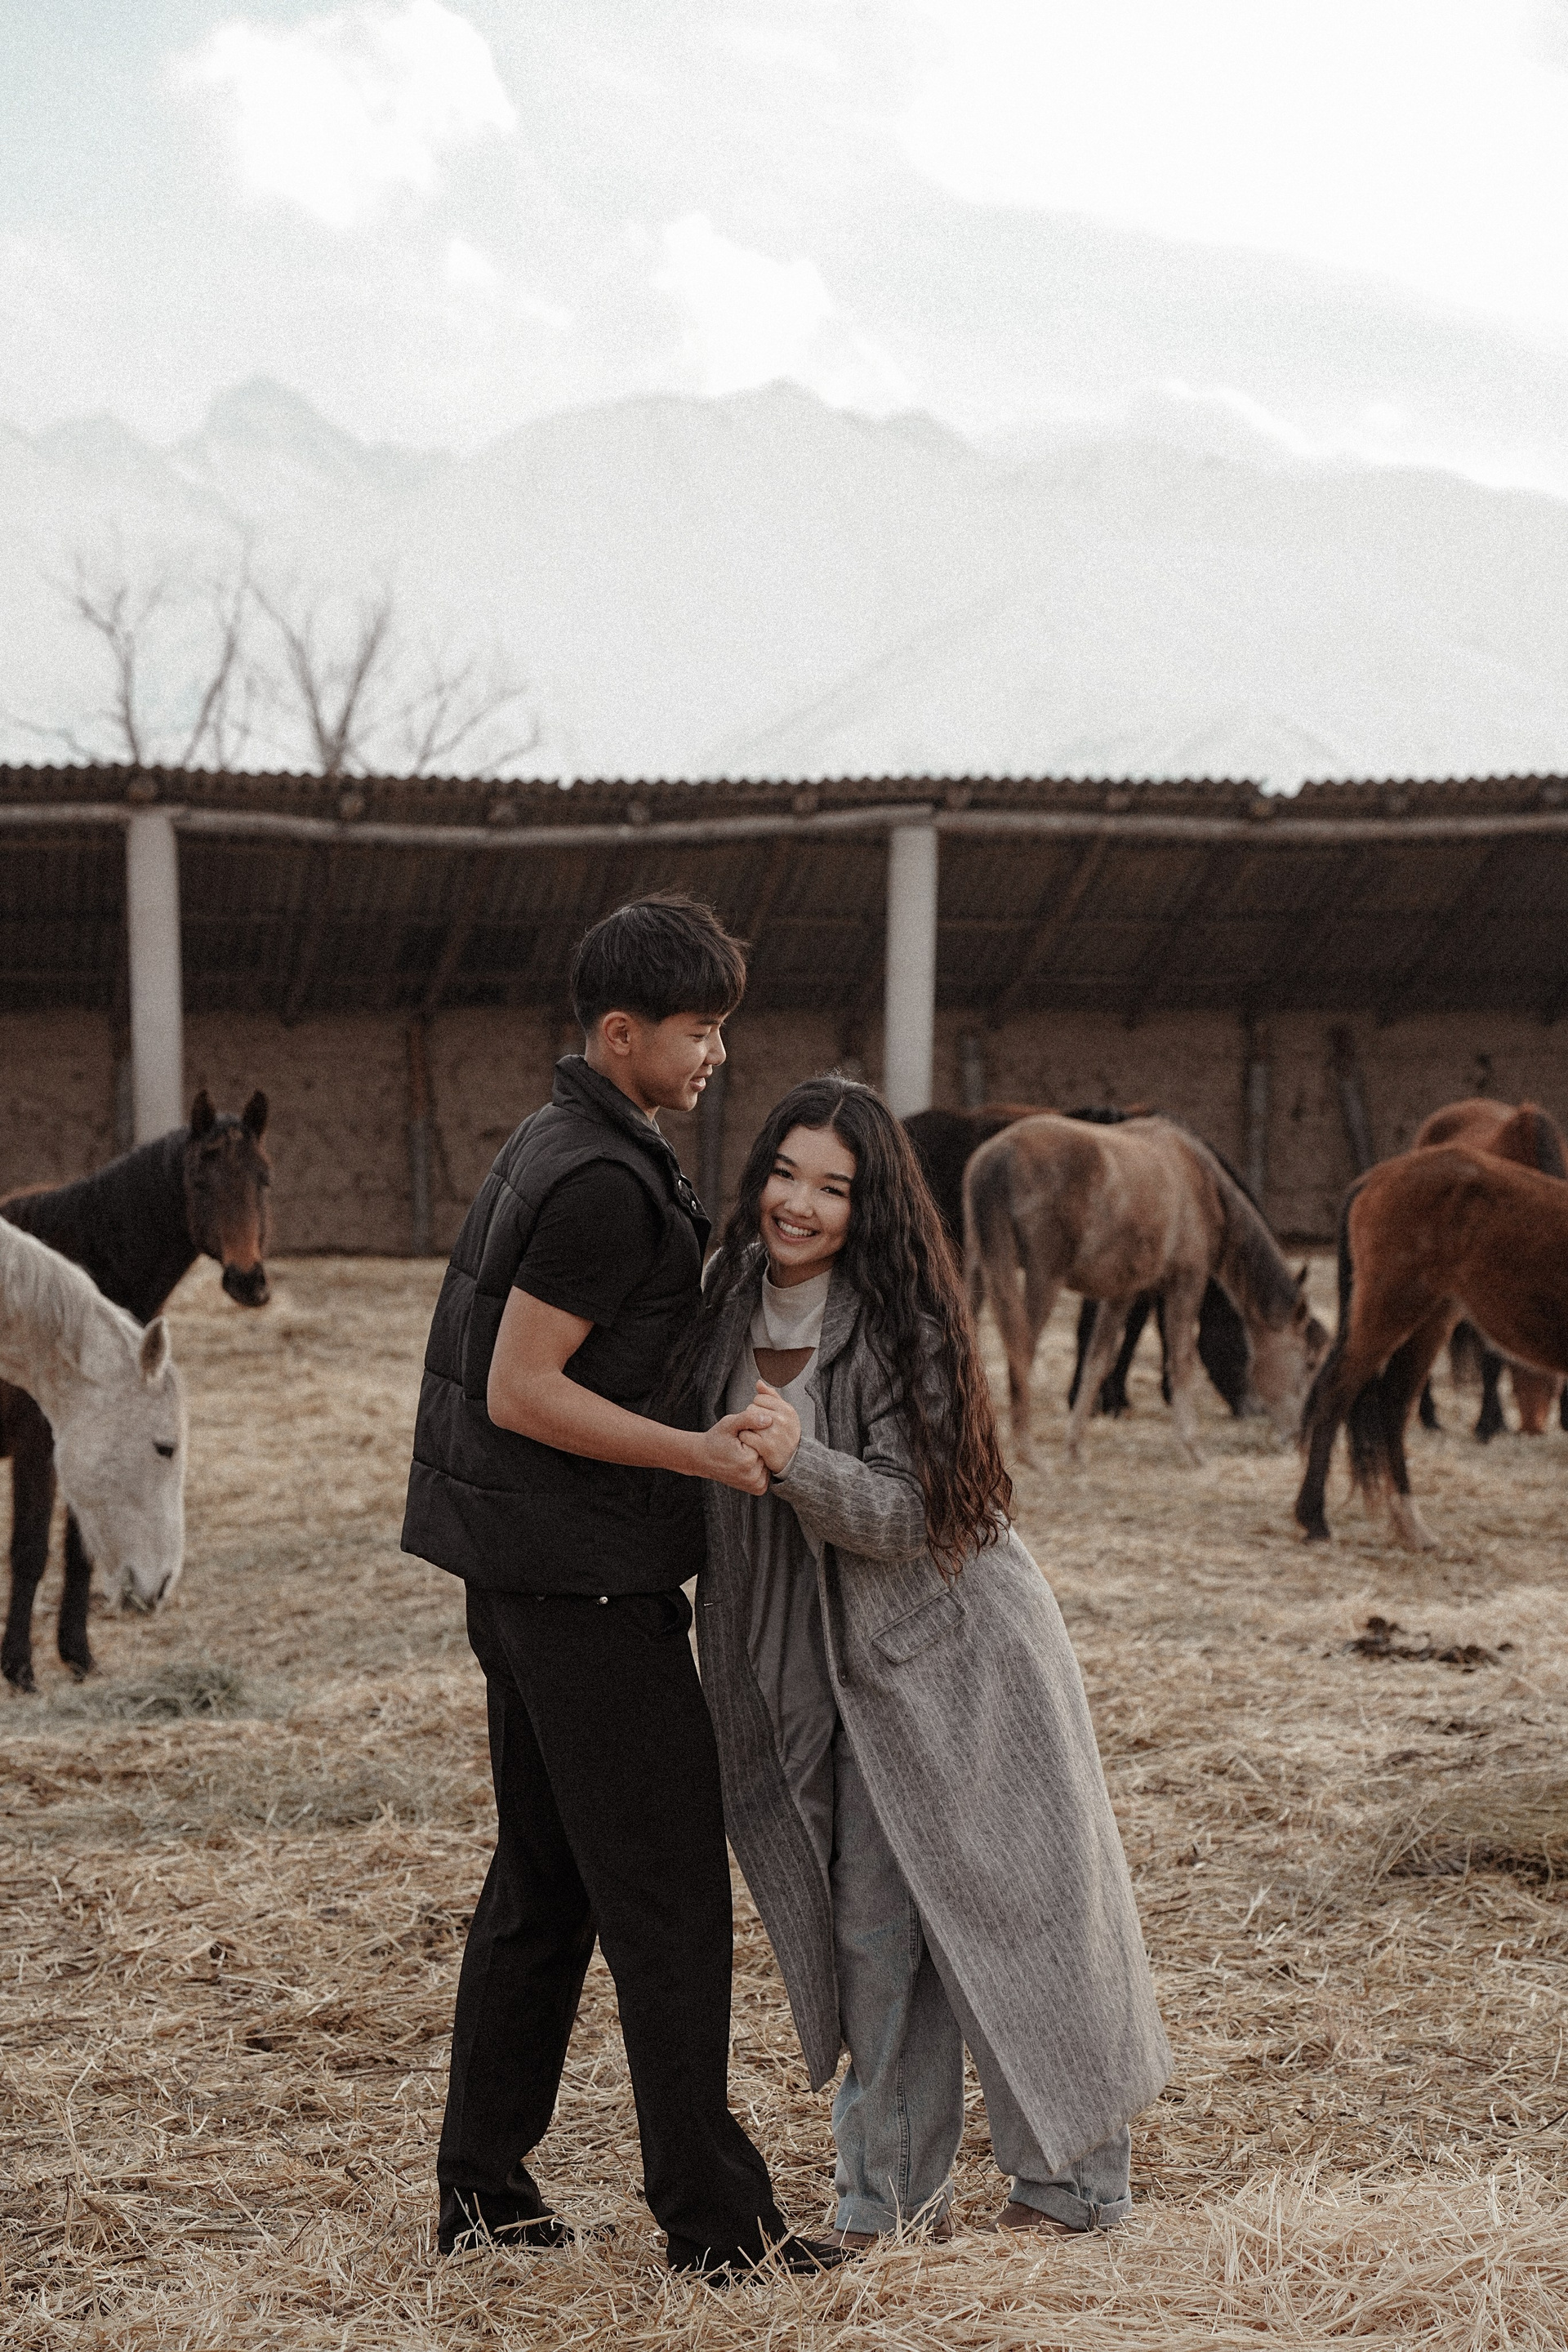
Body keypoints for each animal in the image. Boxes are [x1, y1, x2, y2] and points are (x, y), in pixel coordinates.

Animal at [964, 1113, 1327, 1465]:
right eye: (1309, 1363)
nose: (1300, 1437)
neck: (1200, 1183)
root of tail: (999, 1156)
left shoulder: (1121, 1294)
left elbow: (1097, 1362)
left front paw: (1075, 1447)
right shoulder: (1187, 1281)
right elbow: (1180, 1360)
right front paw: (1192, 1448)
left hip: (977, 1270)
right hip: (1043, 1276)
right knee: (1021, 1348)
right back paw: (1027, 1452)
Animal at [1295, 1145, 1568, 1549]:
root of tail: (1376, 1177)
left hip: (1432, 1319)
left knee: (1393, 1405)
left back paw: (1412, 1527)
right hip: (1391, 1310)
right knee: (1337, 1393)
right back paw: (1315, 1520)